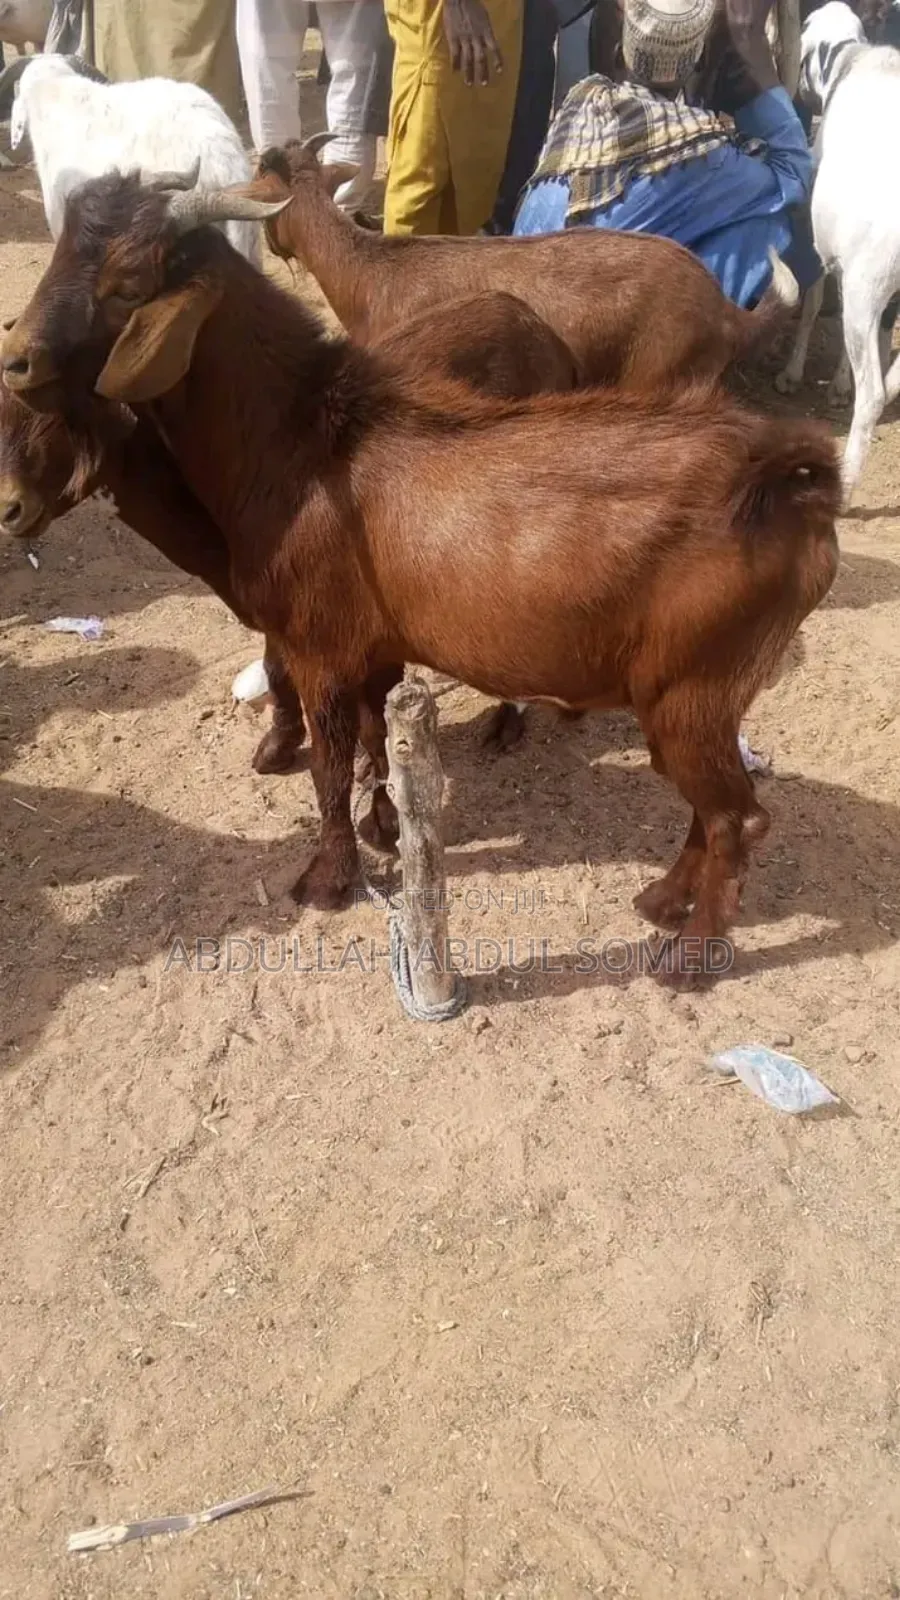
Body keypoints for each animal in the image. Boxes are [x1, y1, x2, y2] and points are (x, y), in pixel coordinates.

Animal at [1, 171, 842, 986]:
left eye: (127, 279)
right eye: (64, 249)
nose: (18, 359)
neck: (304, 446)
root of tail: (792, 488)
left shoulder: (320, 648)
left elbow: (329, 765)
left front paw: (327, 880)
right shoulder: (374, 647)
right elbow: (375, 741)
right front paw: (383, 829)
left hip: (694, 687)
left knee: (738, 818)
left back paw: (689, 959)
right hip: (691, 699)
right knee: (710, 807)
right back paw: (661, 900)